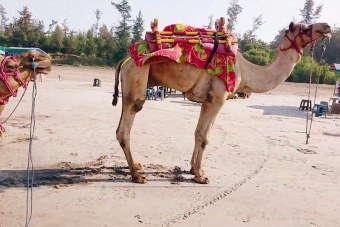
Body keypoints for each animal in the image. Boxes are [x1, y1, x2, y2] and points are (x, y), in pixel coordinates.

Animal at [112, 21, 332, 184]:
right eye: (304, 28)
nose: (327, 27)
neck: (246, 70)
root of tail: (125, 59)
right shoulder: (218, 98)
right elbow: (205, 136)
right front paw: (201, 176)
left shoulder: (206, 100)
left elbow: (197, 133)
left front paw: (193, 169)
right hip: (138, 77)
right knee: (126, 126)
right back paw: (136, 175)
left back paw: (137, 166)